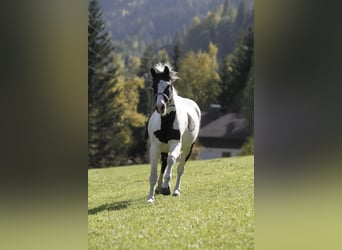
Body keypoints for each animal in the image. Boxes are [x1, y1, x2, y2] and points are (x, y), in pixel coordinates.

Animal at [146, 63, 200, 203]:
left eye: (168, 86)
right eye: (153, 86)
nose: (160, 107)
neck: (166, 123)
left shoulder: (176, 144)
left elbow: (172, 161)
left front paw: (166, 188)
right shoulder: (155, 147)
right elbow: (154, 172)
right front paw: (150, 197)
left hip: (187, 149)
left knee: (180, 168)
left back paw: (175, 190)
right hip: (164, 148)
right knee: (164, 164)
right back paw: (159, 188)